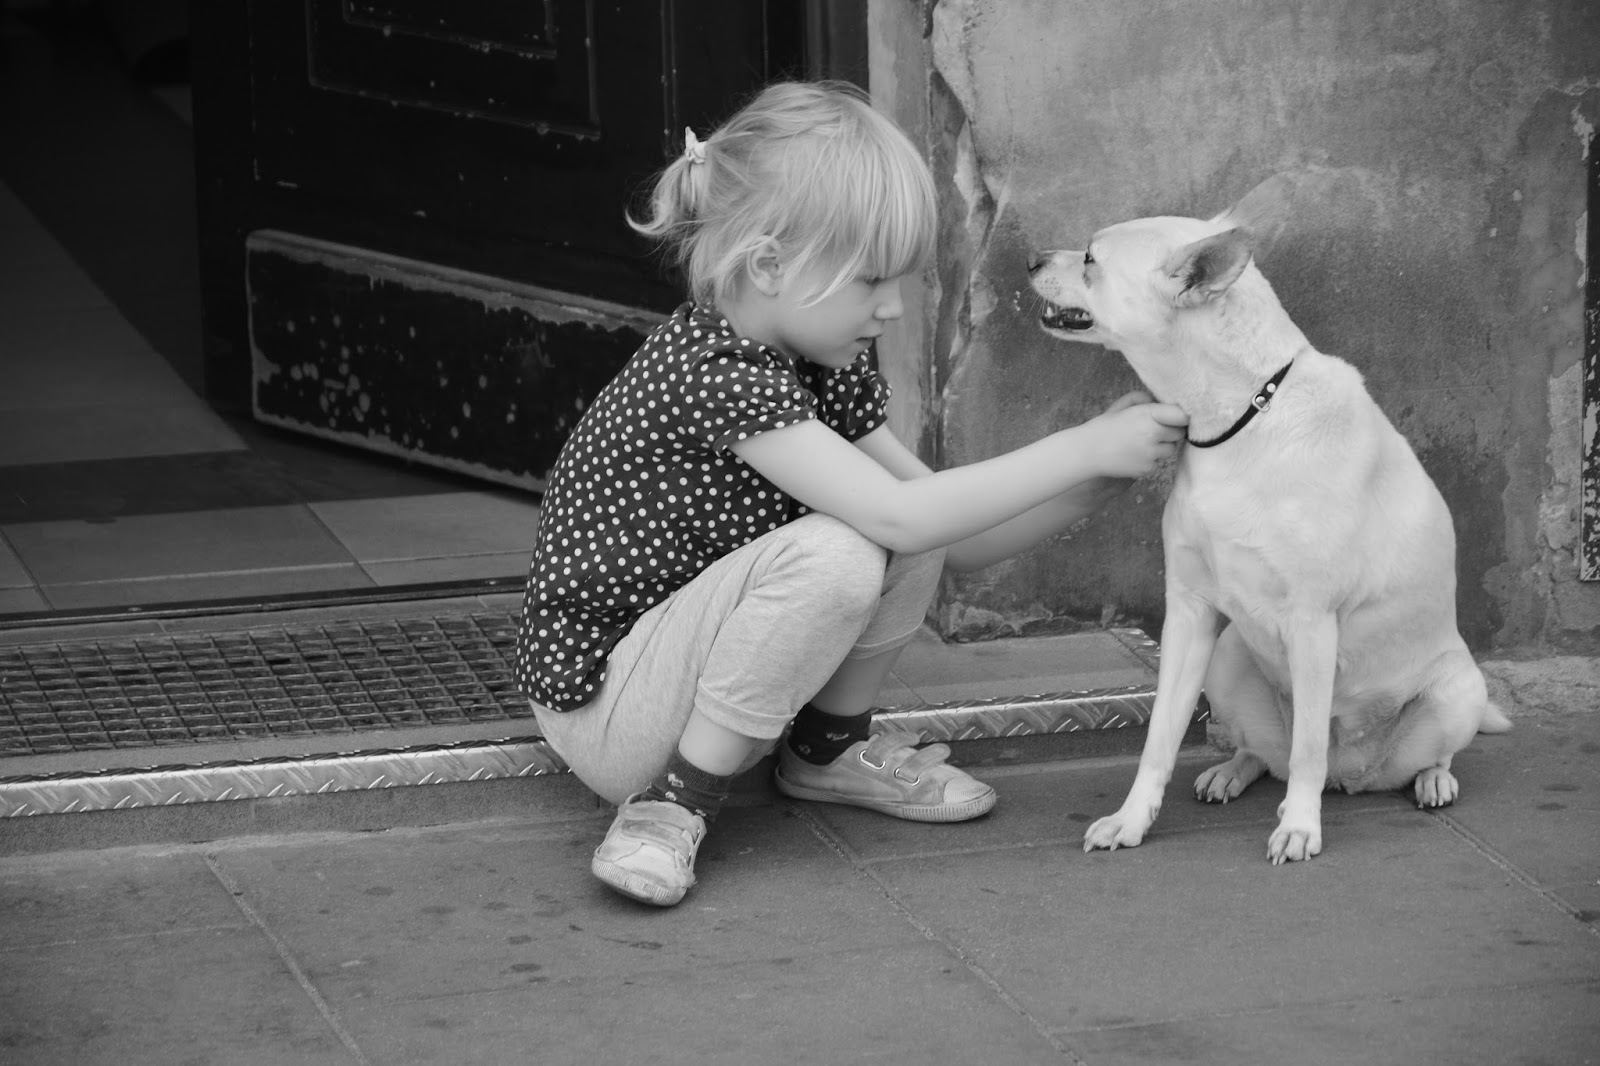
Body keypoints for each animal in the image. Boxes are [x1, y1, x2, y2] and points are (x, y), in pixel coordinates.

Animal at [1030, 180, 1504, 864]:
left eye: (1091, 258)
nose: (1032, 258)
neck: (1240, 416)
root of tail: (1353, 776)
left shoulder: (1311, 623)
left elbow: (1307, 748)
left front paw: (1301, 827)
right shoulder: (1190, 614)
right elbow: (1159, 740)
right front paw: (1131, 820)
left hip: (1459, 690)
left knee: (1400, 756)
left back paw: (1431, 780)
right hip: (1227, 659)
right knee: (1264, 753)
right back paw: (1231, 772)